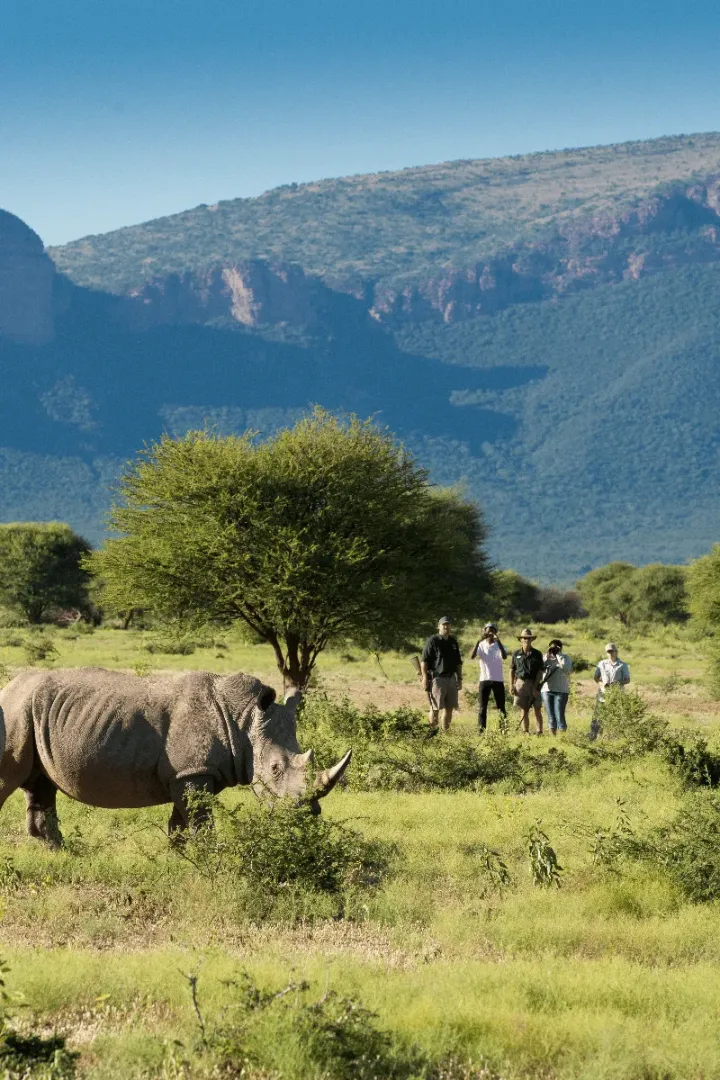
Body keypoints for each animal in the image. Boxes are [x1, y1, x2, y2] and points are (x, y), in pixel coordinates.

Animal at [0, 667, 351, 847]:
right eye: (275, 768)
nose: (307, 815)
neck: (243, 720)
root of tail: (9, 686)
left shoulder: (192, 773)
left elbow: (181, 823)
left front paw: (181, 858)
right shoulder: (192, 772)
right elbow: (200, 822)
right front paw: (209, 860)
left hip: (31, 713)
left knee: (41, 783)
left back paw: (60, 851)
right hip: (15, 711)